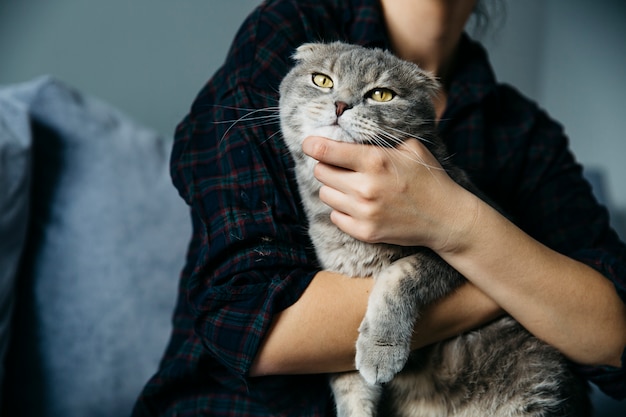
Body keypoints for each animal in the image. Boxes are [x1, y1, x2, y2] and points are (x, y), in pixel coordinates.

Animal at [276, 43, 588, 416]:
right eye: (322, 80)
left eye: (381, 94)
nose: (340, 104)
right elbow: (350, 387)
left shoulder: (454, 258)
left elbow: (396, 275)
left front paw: (380, 350)